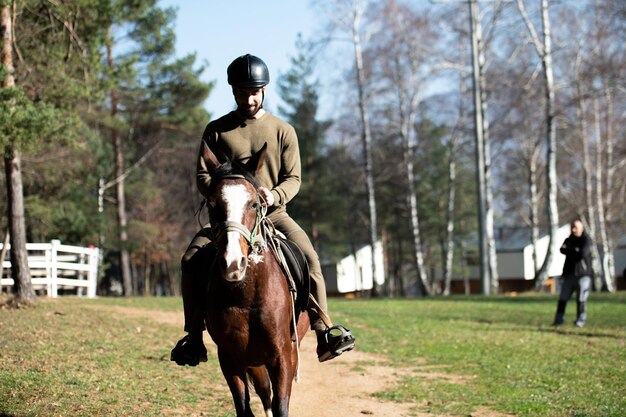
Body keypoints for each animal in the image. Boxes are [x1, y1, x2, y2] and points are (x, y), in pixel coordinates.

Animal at [199, 142, 308, 416]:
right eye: (212, 205)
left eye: (254, 204)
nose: (232, 262)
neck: (246, 296)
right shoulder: (230, 359)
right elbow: (244, 407)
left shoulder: (282, 357)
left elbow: (281, 406)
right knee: (264, 393)